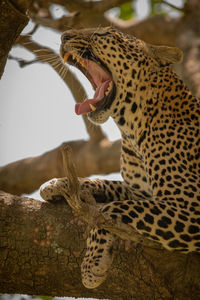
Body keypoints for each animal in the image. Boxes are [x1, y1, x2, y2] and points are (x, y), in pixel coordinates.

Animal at [39, 27, 200, 290]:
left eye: (104, 33)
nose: (64, 36)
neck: (133, 132)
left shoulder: (190, 205)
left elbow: (111, 209)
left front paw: (93, 263)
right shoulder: (141, 193)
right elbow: (109, 186)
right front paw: (57, 184)